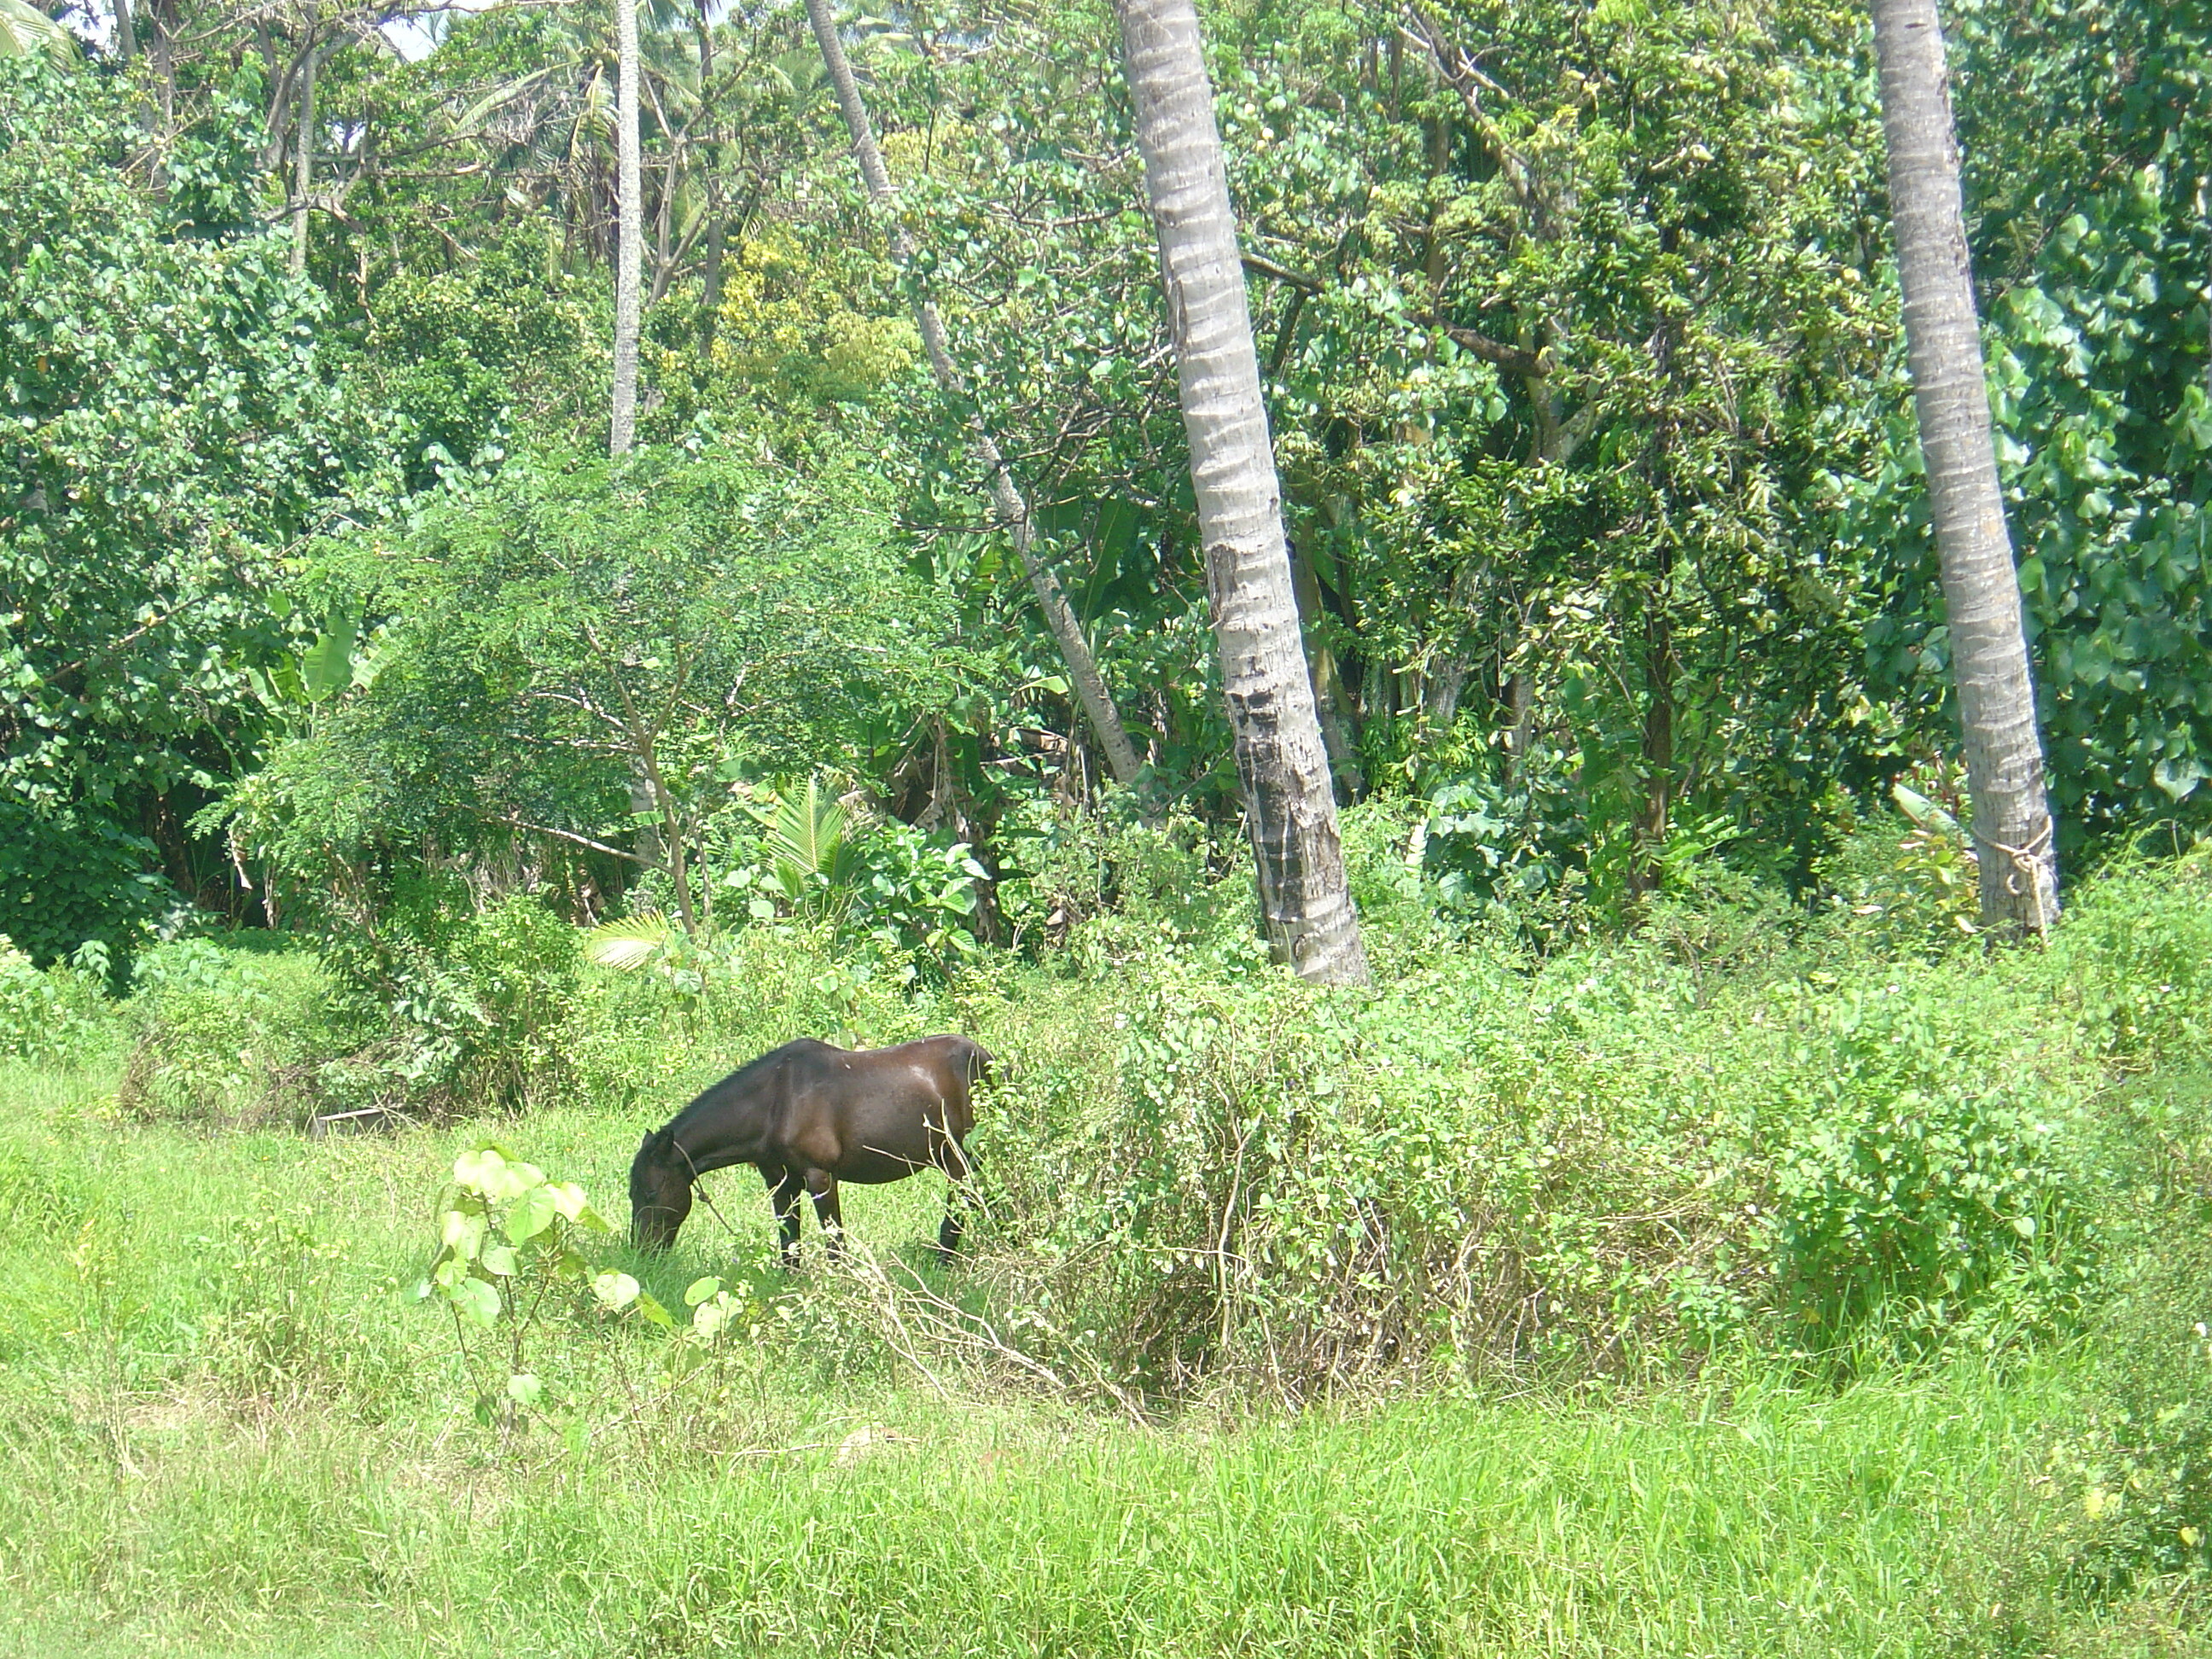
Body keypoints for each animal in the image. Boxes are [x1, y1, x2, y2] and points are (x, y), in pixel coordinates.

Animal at [632, 1035, 995, 1265]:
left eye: (650, 1193)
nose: (642, 1255)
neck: (776, 1101)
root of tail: (990, 1062)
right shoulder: (780, 1183)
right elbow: (789, 1244)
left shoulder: (820, 1178)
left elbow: (835, 1244)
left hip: (959, 1161)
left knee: (957, 1212)